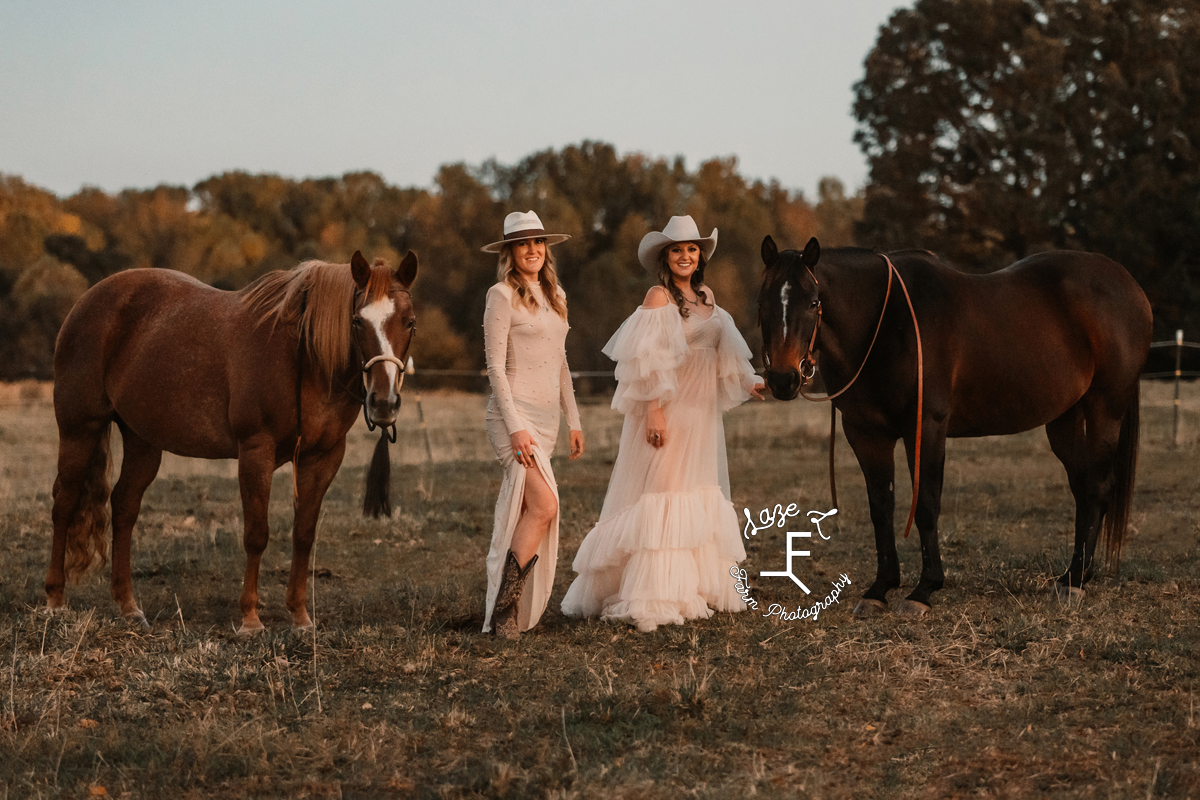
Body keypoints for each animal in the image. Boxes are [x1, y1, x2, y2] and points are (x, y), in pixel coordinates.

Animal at [46, 250, 420, 633]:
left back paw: (128, 606)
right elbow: (256, 534)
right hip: (79, 429)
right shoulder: (256, 451)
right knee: (65, 502)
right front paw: (250, 620)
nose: (384, 403)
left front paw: (300, 617)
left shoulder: (323, 457)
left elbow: (303, 534)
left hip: (142, 441)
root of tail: (86, 302)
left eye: (409, 322)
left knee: (124, 506)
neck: (305, 357)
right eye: (358, 322)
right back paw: (55, 599)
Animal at [758, 235, 1152, 618]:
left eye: (813, 303)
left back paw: (1077, 581)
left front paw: (924, 590)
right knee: (1082, 489)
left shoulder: (926, 427)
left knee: (1098, 488)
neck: (884, 325)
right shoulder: (866, 434)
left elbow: (926, 505)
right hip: (1065, 420)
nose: (783, 379)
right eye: (762, 302)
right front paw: (880, 588)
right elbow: (881, 507)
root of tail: (1129, 284)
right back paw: (1072, 575)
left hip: (1104, 409)